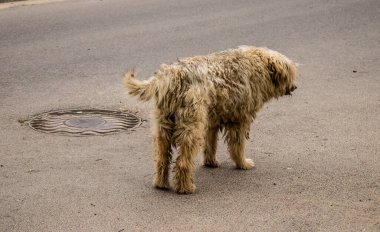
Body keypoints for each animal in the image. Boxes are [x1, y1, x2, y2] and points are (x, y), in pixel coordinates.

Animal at [123, 45, 298, 194]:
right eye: (290, 72)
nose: (295, 87)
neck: (257, 65)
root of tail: (172, 75)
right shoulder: (240, 121)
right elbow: (237, 146)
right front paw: (243, 163)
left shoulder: (212, 122)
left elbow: (210, 144)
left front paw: (210, 162)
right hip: (190, 126)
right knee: (183, 162)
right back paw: (186, 187)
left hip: (163, 126)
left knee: (162, 157)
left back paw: (161, 183)